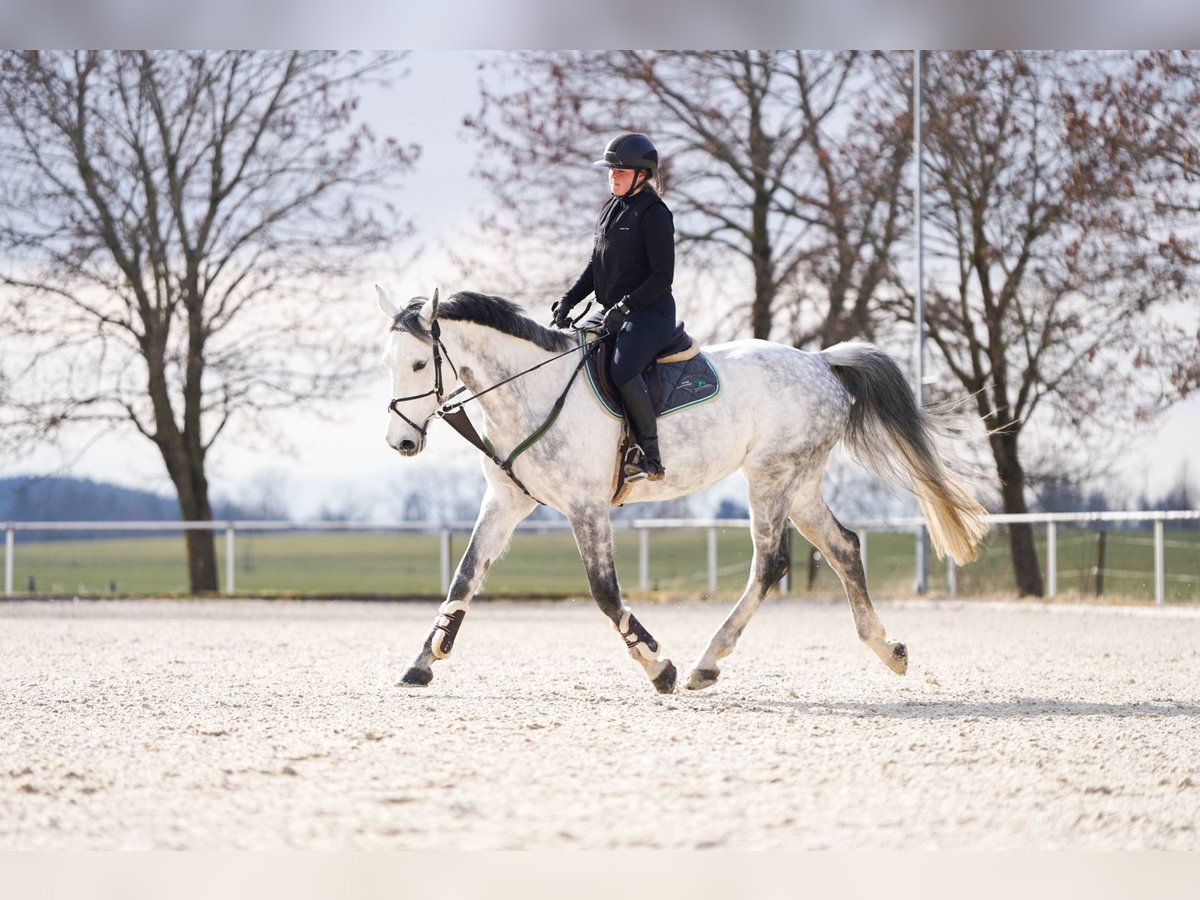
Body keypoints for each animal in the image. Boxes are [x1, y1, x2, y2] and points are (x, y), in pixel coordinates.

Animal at [376, 285, 984, 696]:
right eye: (389, 364)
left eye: (418, 363)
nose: (400, 442)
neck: (532, 388)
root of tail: (819, 361)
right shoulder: (506, 503)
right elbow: (465, 577)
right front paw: (423, 661)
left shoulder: (586, 507)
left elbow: (605, 592)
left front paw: (658, 666)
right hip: (801, 484)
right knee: (844, 548)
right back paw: (888, 649)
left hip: (771, 477)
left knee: (770, 563)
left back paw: (705, 664)